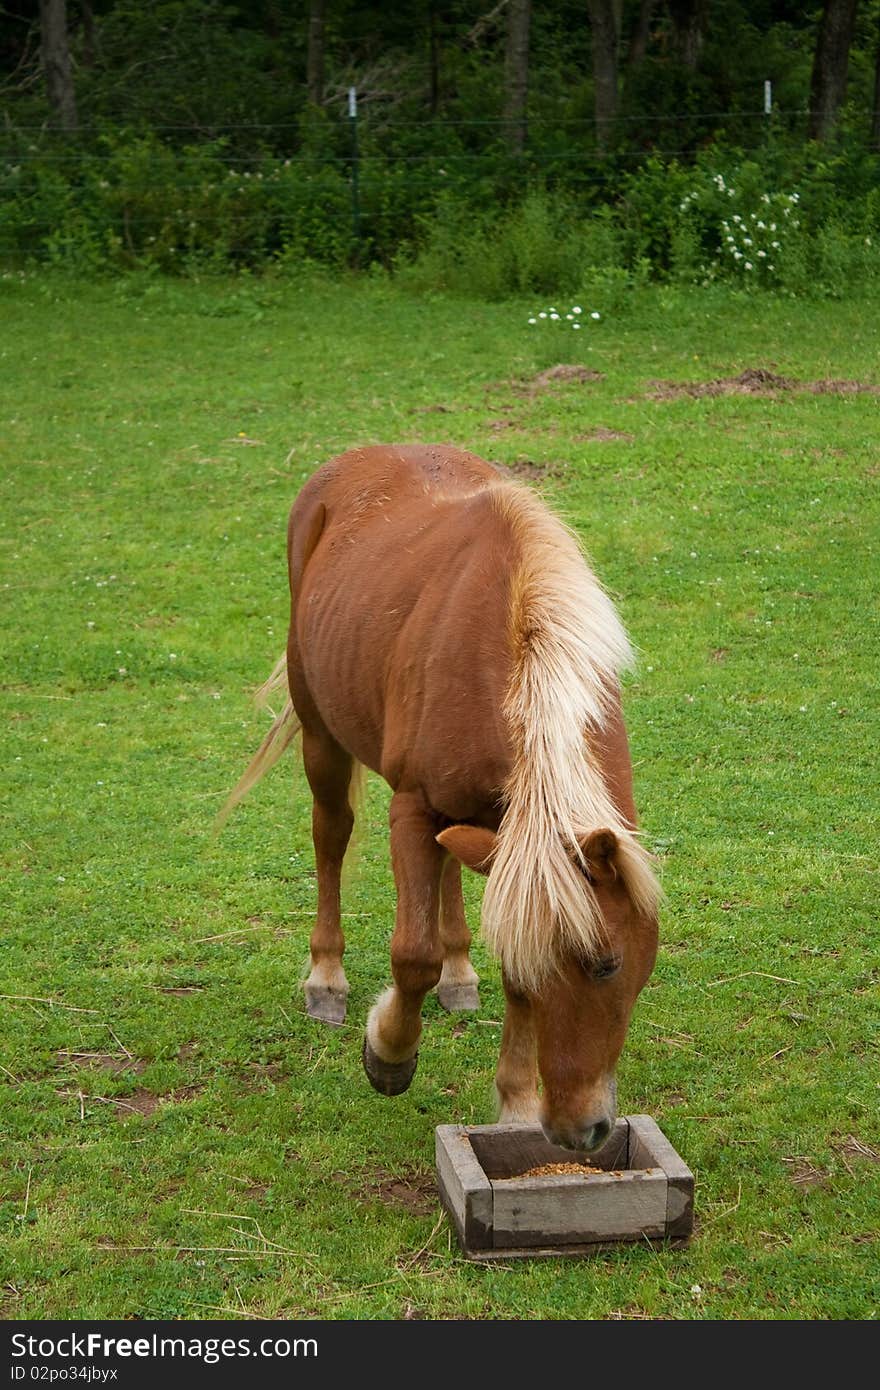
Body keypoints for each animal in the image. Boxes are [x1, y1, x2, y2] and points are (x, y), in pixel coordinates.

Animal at [219, 444, 658, 1150]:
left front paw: (514, 1103)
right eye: (605, 965)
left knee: (448, 863)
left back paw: (459, 973)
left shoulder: (514, 852)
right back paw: (326, 979)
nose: (582, 1131)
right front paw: (389, 1054)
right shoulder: (413, 808)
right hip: (321, 736)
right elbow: (411, 955)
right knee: (330, 837)